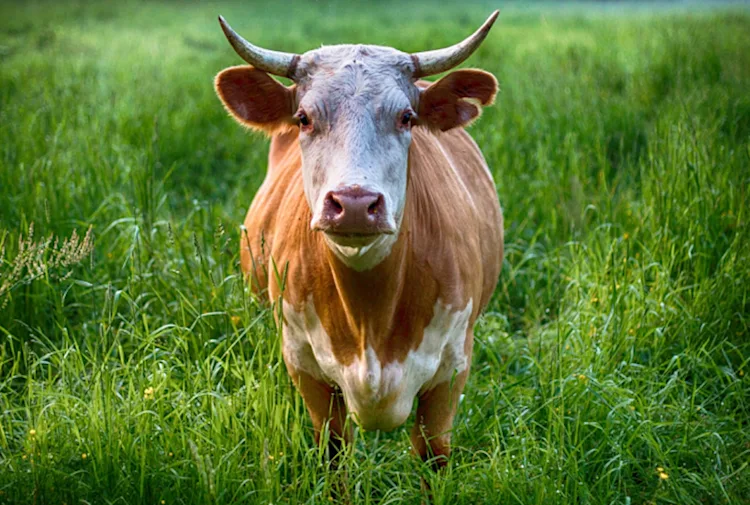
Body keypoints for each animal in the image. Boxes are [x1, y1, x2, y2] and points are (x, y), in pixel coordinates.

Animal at [214, 11, 504, 471]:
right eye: (303, 117)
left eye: (407, 117)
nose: (353, 203)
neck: (371, 315)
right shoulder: (305, 366)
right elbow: (333, 453)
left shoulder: (452, 370)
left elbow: (433, 456)